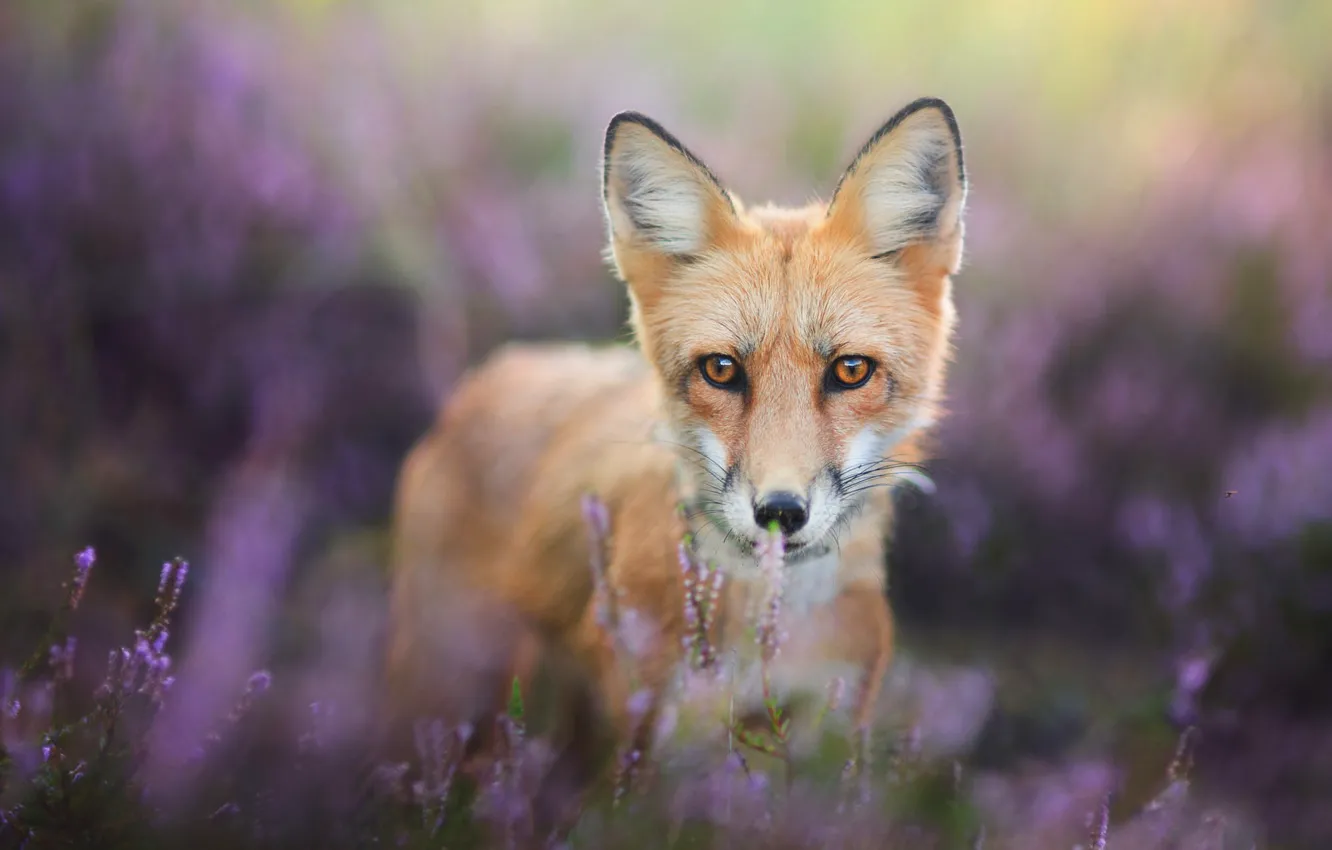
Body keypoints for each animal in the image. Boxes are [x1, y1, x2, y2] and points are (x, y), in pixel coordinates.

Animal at [383, 96, 968, 831]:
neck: (763, 632)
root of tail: (494, 370)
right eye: (720, 370)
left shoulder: (831, 732)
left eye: (850, 370)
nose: (779, 514)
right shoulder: (655, 739)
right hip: (456, 684)